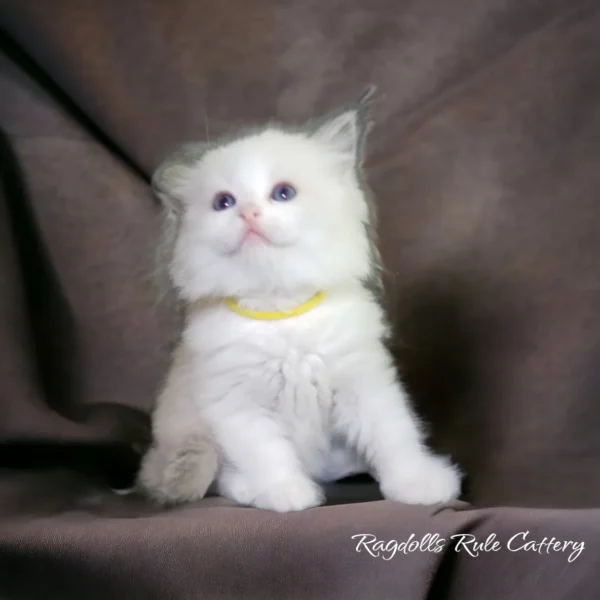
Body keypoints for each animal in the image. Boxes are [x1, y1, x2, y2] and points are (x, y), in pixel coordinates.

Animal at [138, 91, 462, 512]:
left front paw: (418, 484)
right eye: (223, 202)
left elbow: (393, 436)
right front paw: (287, 494)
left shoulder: (364, 382)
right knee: (222, 476)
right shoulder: (238, 405)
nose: (249, 213)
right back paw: (252, 489)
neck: (282, 314)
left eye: (284, 194)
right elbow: (269, 454)